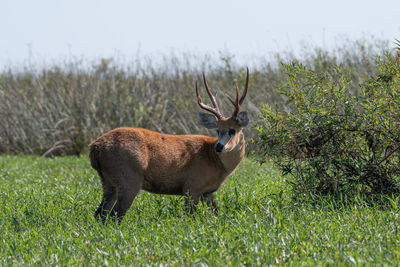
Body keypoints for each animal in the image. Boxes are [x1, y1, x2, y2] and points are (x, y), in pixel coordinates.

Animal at [89, 68, 248, 222]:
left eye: (232, 130)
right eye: (218, 130)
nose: (219, 147)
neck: (215, 161)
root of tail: (94, 148)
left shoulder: (208, 193)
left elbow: (216, 213)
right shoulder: (192, 187)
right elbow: (191, 218)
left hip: (109, 181)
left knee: (100, 213)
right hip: (128, 177)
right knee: (115, 214)